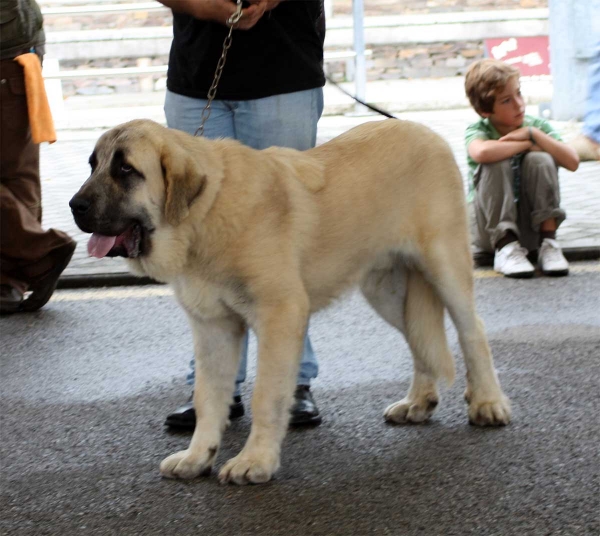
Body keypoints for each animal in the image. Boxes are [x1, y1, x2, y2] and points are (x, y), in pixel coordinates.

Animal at [70, 118, 510, 486]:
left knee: (473, 331)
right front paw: (198, 457)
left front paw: (255, 461)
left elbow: (266, 395)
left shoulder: (279, 317)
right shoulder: (213, 329)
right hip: (387, 291)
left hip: (444, 266)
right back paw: (419, 402)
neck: (205, 214)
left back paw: (488, 402)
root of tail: (426, 132)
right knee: (420, 341)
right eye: (93, 165)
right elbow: (208, 397)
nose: (75, 206)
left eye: (126, 170)